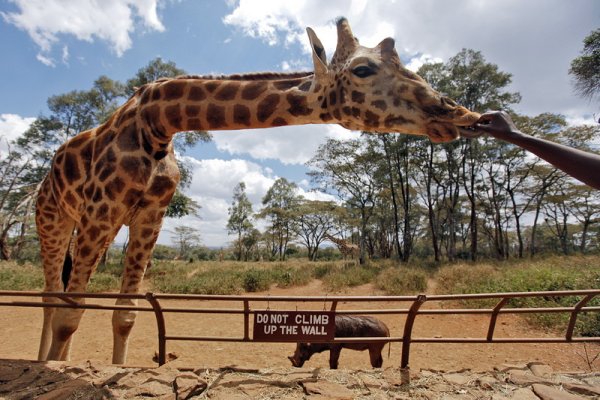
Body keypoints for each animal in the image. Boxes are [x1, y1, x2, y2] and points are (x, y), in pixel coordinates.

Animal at [36, 17, 478, 364]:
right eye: (363, 69)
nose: (453, 111)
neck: (157, 123)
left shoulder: (149, 216)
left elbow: (124, 316)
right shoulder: (103, 209)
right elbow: (69, 316)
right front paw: (56, 371)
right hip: (55, 222)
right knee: (49, 299)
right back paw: (45, 358)